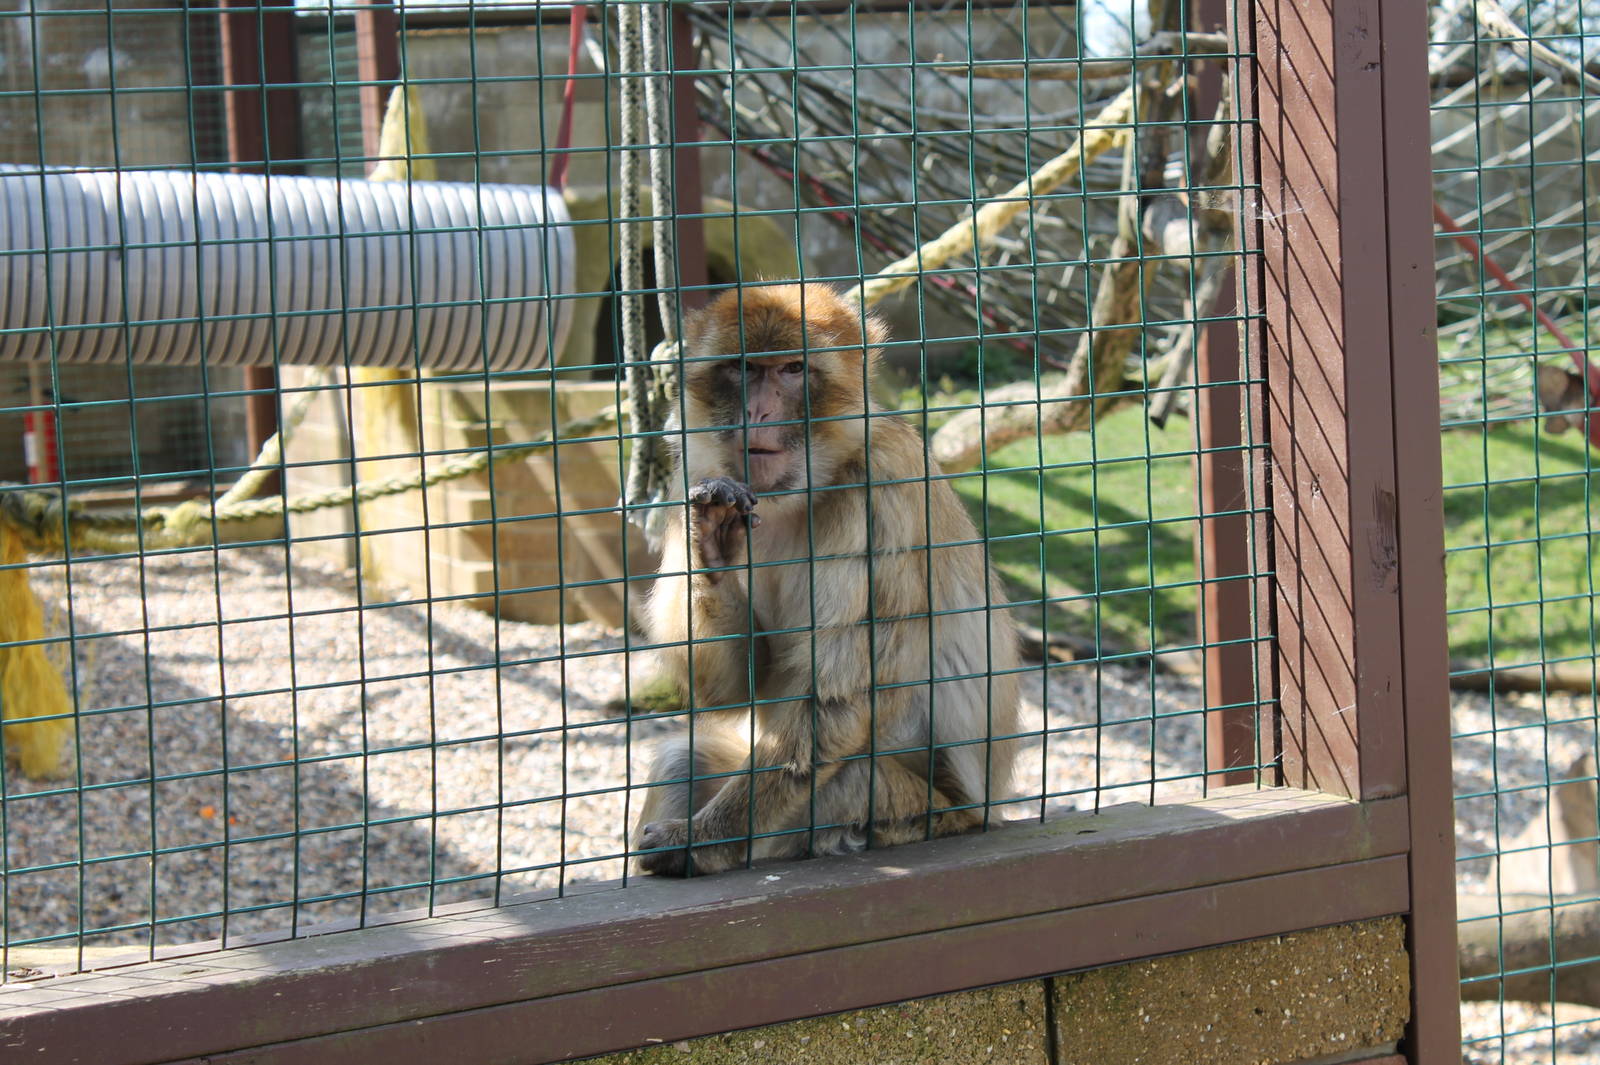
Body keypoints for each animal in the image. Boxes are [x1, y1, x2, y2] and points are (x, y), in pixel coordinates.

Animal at [631, 282, 1020, 877]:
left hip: (923, 813)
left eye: (793, 369)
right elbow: (736, 684)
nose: (759, 409)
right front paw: (711, 541)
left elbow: (838, 701)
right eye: (743, 369)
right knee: (685, 757)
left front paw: (700, 840)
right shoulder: (690, 477)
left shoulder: (879, 488)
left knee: (848, 778)